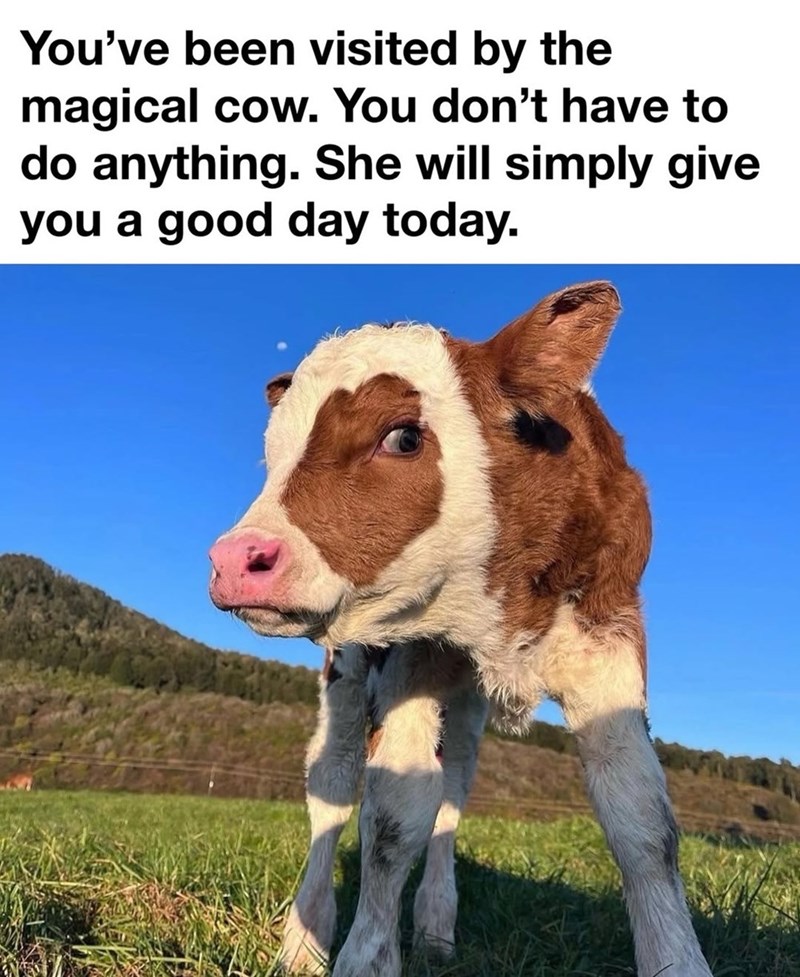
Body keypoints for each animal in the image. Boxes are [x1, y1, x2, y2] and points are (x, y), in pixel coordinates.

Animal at [209, 282, 713, 977]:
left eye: (402, 437)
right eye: (271, 459)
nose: (235, 560)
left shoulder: (609, 633)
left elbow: (641, 817)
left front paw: (676, 957)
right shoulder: (405, 653)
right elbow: (392, 818)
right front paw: (363, 957)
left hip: (466, 701)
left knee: (454, 782)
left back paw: (435, 926)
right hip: (348, 671)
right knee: (333, 785)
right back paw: (304, 942)